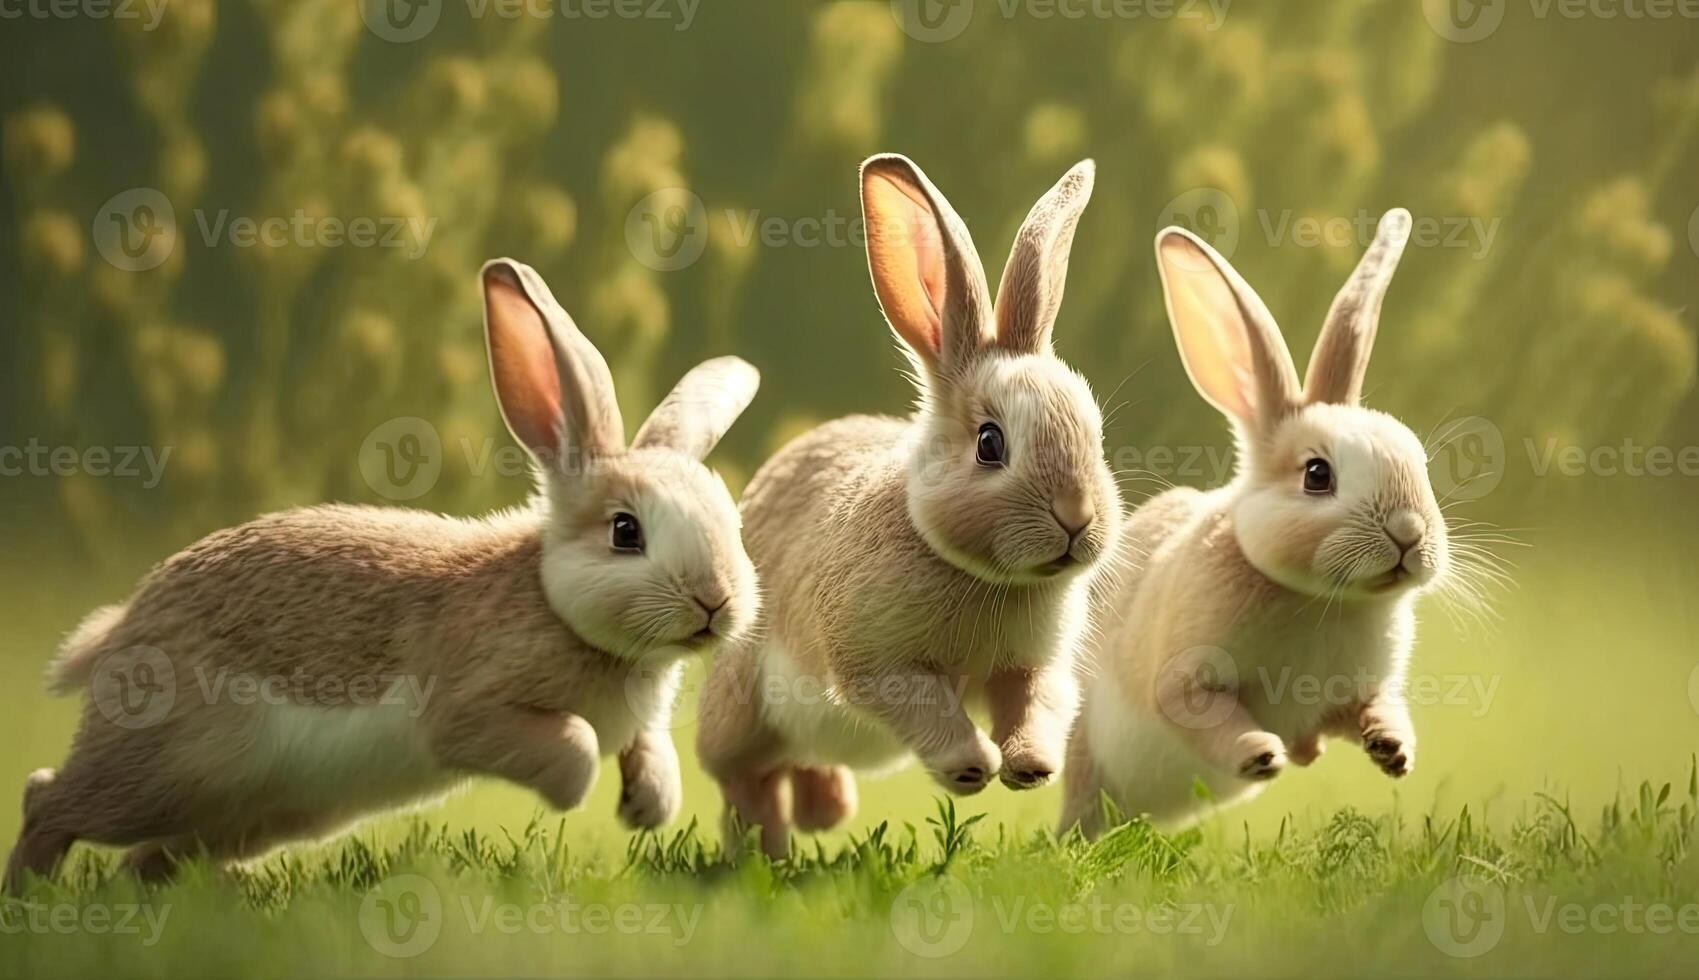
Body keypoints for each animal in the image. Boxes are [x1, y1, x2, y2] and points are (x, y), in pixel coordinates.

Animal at [4, 258, 764, 883]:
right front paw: (581, 793)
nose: (715, 602)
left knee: (143, 859)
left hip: (248, 815)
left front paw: (645, 806)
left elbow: (651, 750)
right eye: (625, 532)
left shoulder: (639, 724)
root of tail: (121, 631)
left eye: (732, 524)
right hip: (163, 768)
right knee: (49, 799)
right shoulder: (468, 709)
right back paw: (30, 895)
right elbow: (571, 748)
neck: (552, 602)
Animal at [696, 152, 1121, 856]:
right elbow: (926, 706)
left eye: (1096, 433)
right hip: (742, 707)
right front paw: (972, 767)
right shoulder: (878, 663)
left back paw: (826, 810)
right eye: (990, 444)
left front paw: (1030, 768)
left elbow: (1036, 705)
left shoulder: (1031, 667)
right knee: (743, 780)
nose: (1077, 517)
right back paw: (764, 853)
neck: (985, 576)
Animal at [1060, 204, 1447, 832]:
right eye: (1317, 474)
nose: (1410, 533)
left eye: (1419, 461)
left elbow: (1370, 710)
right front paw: (1260, 754)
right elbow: (1203, 711)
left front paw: (1394, 750)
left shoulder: (1356, 693)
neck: (1320, 598)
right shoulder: (1184, 678)